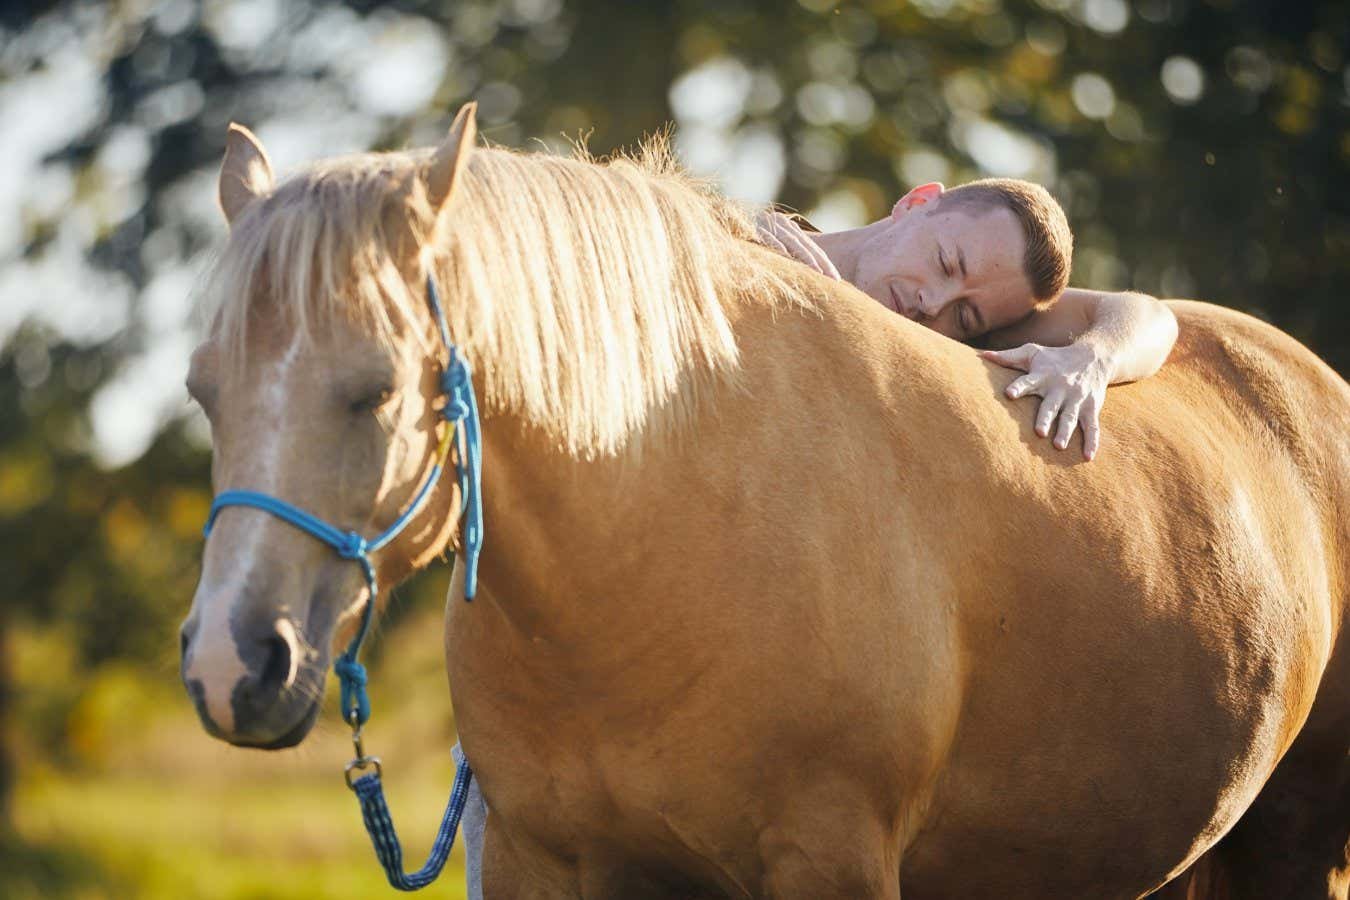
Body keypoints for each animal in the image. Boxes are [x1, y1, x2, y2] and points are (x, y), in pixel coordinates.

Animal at [179, 107, 1350, 900]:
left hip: (1298, 843)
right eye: (201, 389)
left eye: (376, 390)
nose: (234, 667)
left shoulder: (828, 858)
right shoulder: (534, 859)